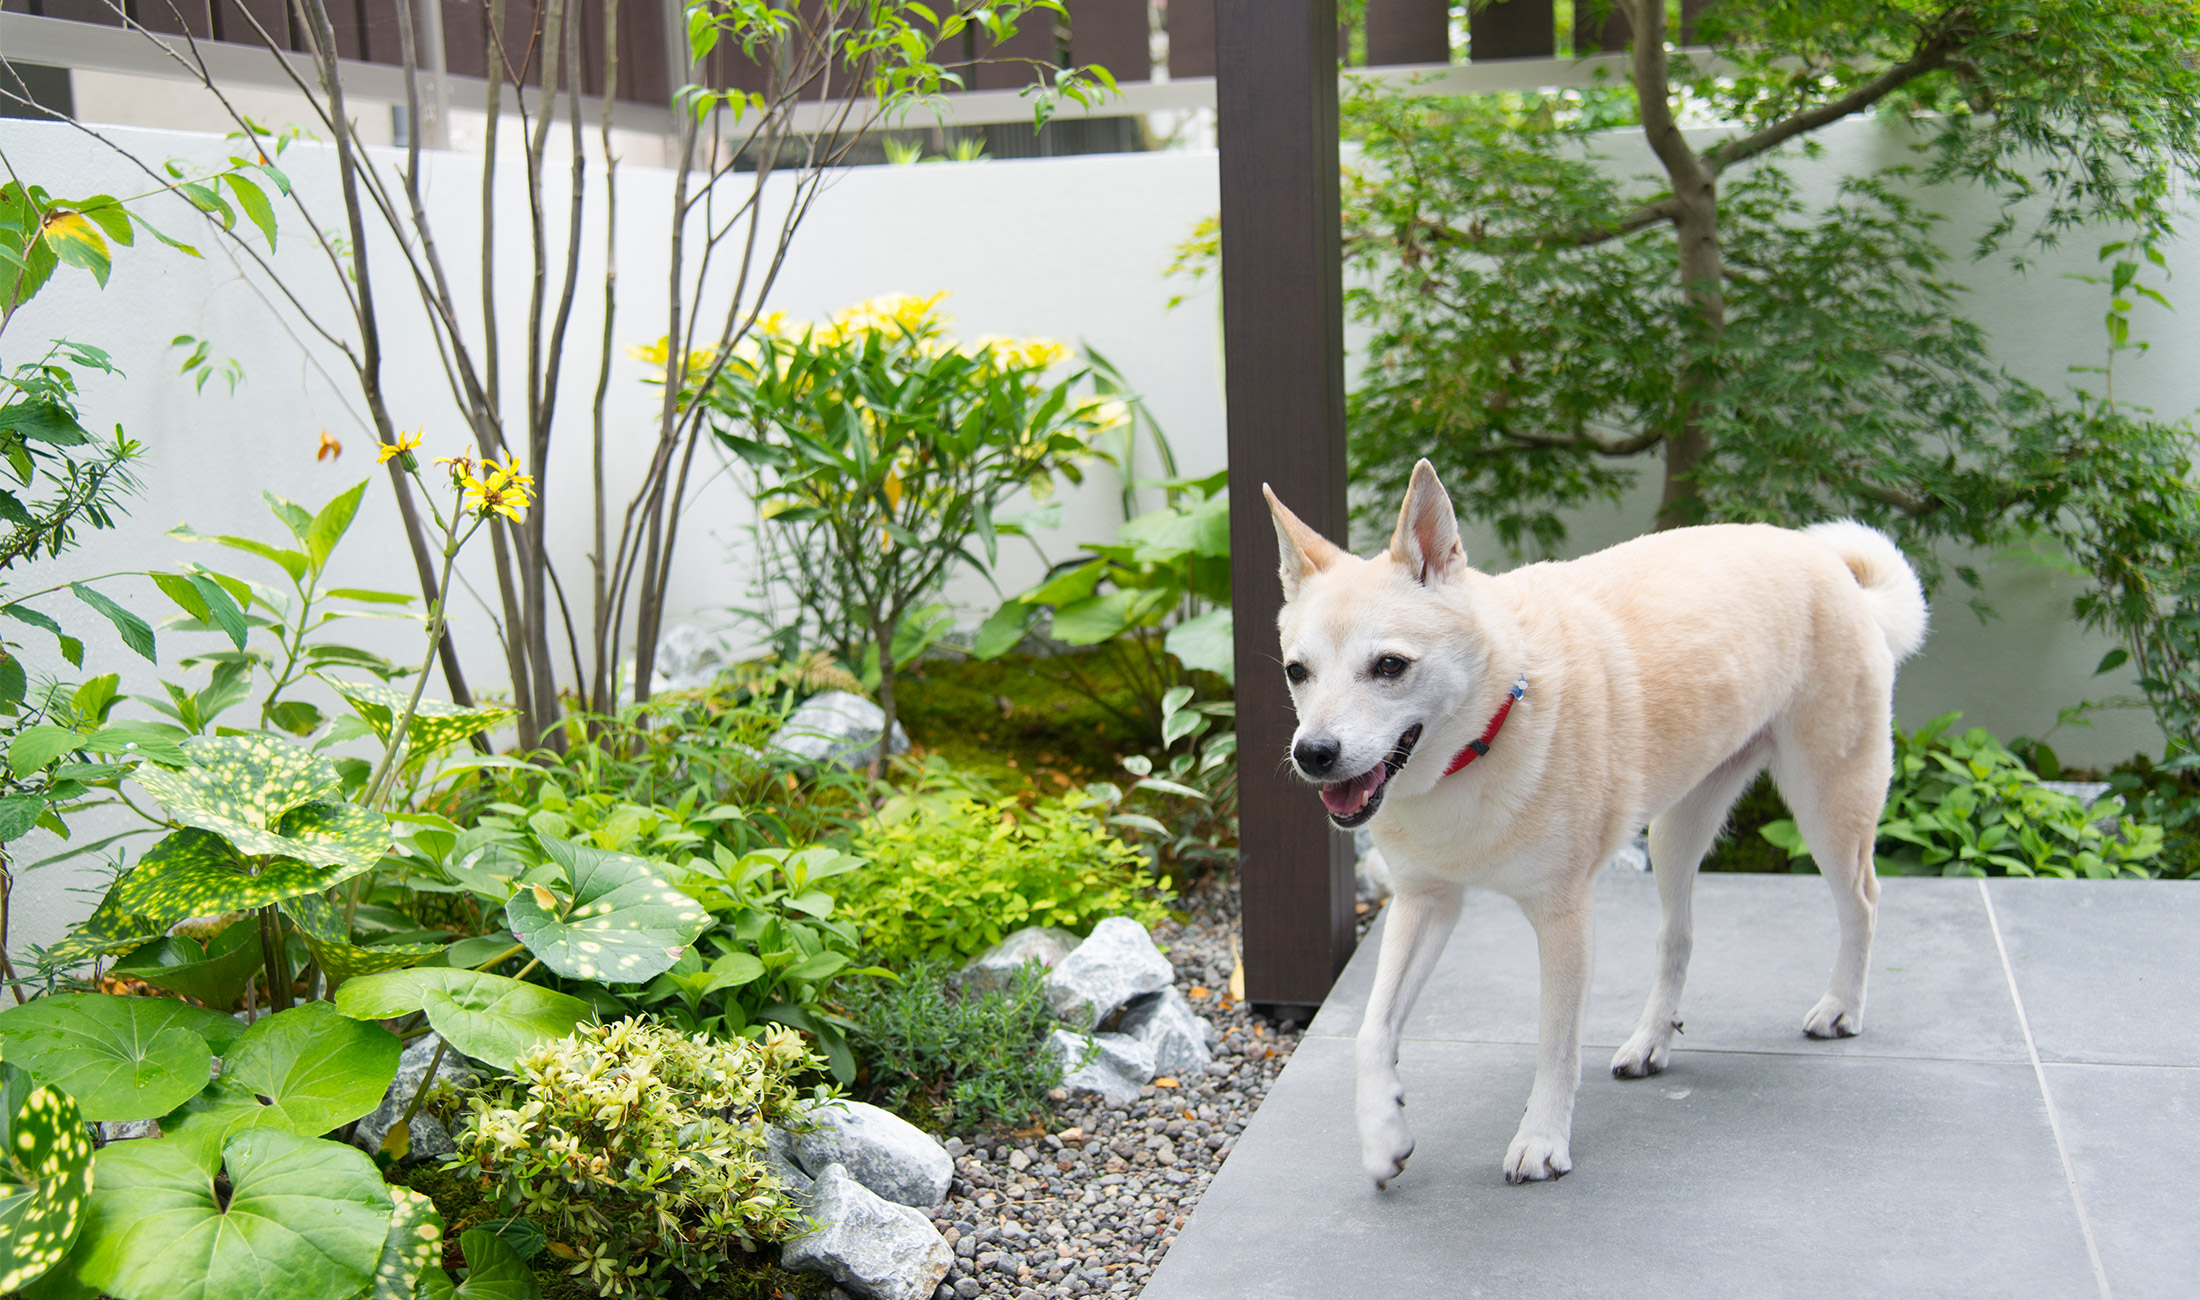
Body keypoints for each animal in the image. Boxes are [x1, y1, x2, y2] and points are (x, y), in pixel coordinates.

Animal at [1276, 457, 1927, 1187]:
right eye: (1297, 671)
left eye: (1390, 665)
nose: (1313, 753)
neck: (1485, 735)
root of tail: (1828, 563)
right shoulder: (1424, 903)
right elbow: (1372, 1029)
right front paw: (1383, 1133)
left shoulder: (1563, 919)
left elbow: (1555, 1044)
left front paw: (1541, 1139)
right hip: (1676, 830)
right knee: (1677, 937)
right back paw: (1651, 1041)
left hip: (1828, 804)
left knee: (1862, 902)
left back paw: (1842, 1005)